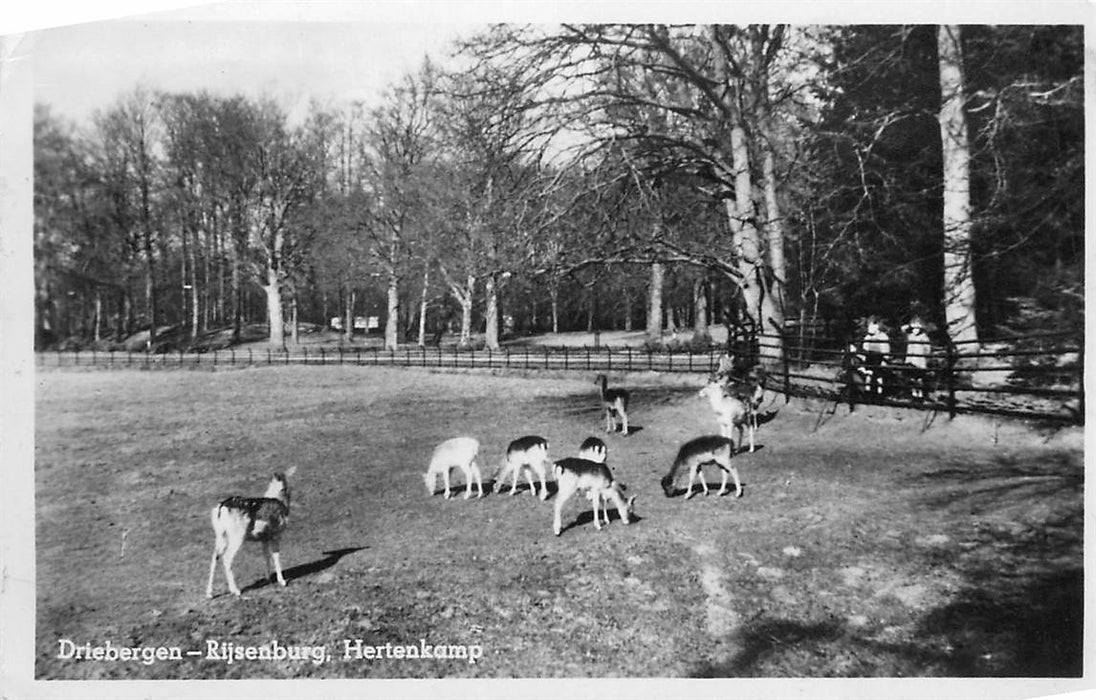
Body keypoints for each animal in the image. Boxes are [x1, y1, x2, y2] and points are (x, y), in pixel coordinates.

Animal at [206, 468, 295, 600]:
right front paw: (282, 581)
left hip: (221, 536)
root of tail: (220, 508)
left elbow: (266, 555)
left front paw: (268, 578)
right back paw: (236, 591)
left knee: (214, 557)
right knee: (227, 558)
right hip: (237, 536)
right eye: (286, 485)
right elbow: (276, 556)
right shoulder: (275, 534)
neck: (280, 500)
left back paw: (209, 593)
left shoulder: (264, 537)